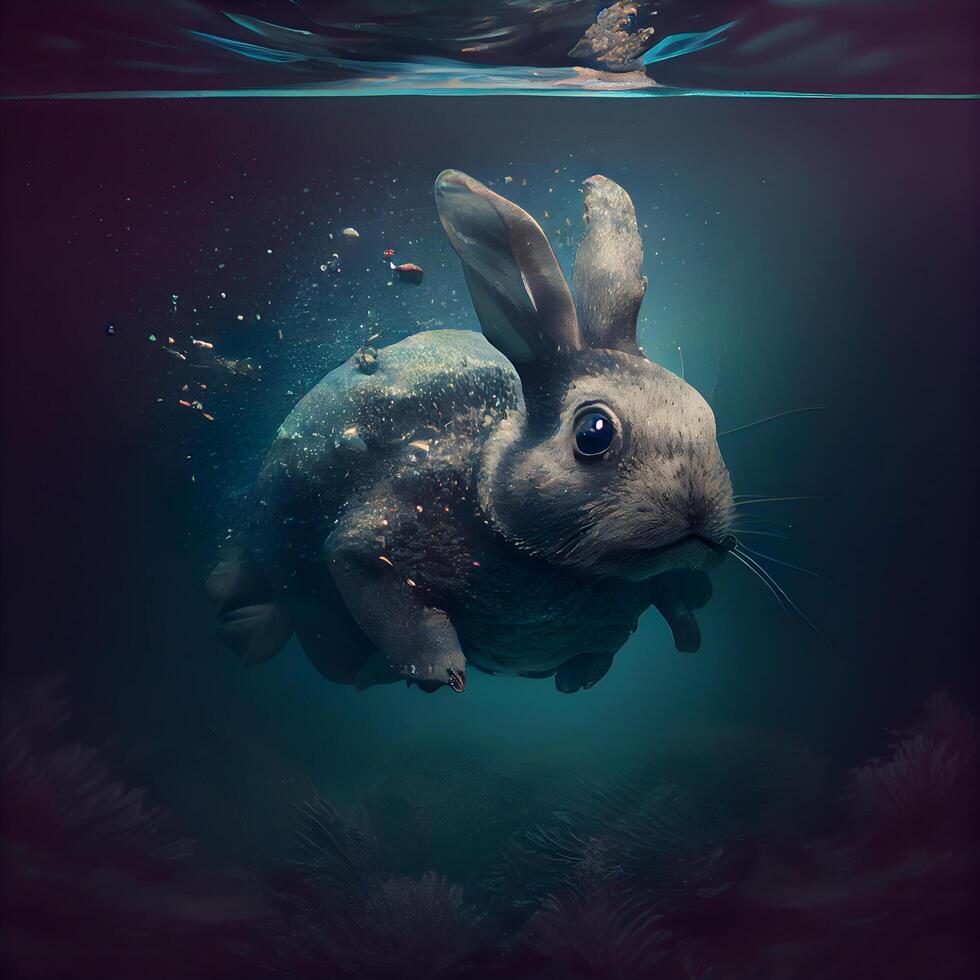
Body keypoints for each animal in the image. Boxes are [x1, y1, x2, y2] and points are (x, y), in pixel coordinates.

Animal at [207, 169, 735, 694]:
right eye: (593, 434)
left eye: (708, 419)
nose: (698, 507)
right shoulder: (382, 527)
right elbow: (372, 582)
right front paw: (442, 671)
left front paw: (581, 677)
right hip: (266, 526)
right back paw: (241, 620)